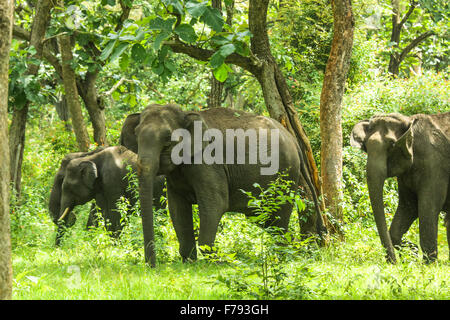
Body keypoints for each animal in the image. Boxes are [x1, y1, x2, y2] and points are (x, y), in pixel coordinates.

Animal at [119, 104, 324, 266]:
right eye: (136, 135)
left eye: (168, 139)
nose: (152, 266)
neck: (186, 114)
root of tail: (294, 140)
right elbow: (177, 208)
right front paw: (189, 263)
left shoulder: (209, 163)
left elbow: (215, 204)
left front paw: (217, 263)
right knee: (268, 221)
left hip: (286, 175)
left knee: (278, 218)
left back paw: (282, 258)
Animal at [352, 112, 450, 262]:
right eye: (366, 147)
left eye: (392, 145)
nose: (393, 263)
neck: (409, 121)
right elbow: (409, 207)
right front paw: (412, 253)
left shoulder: (435, 166)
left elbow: (428, 208)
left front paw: (428, 264)